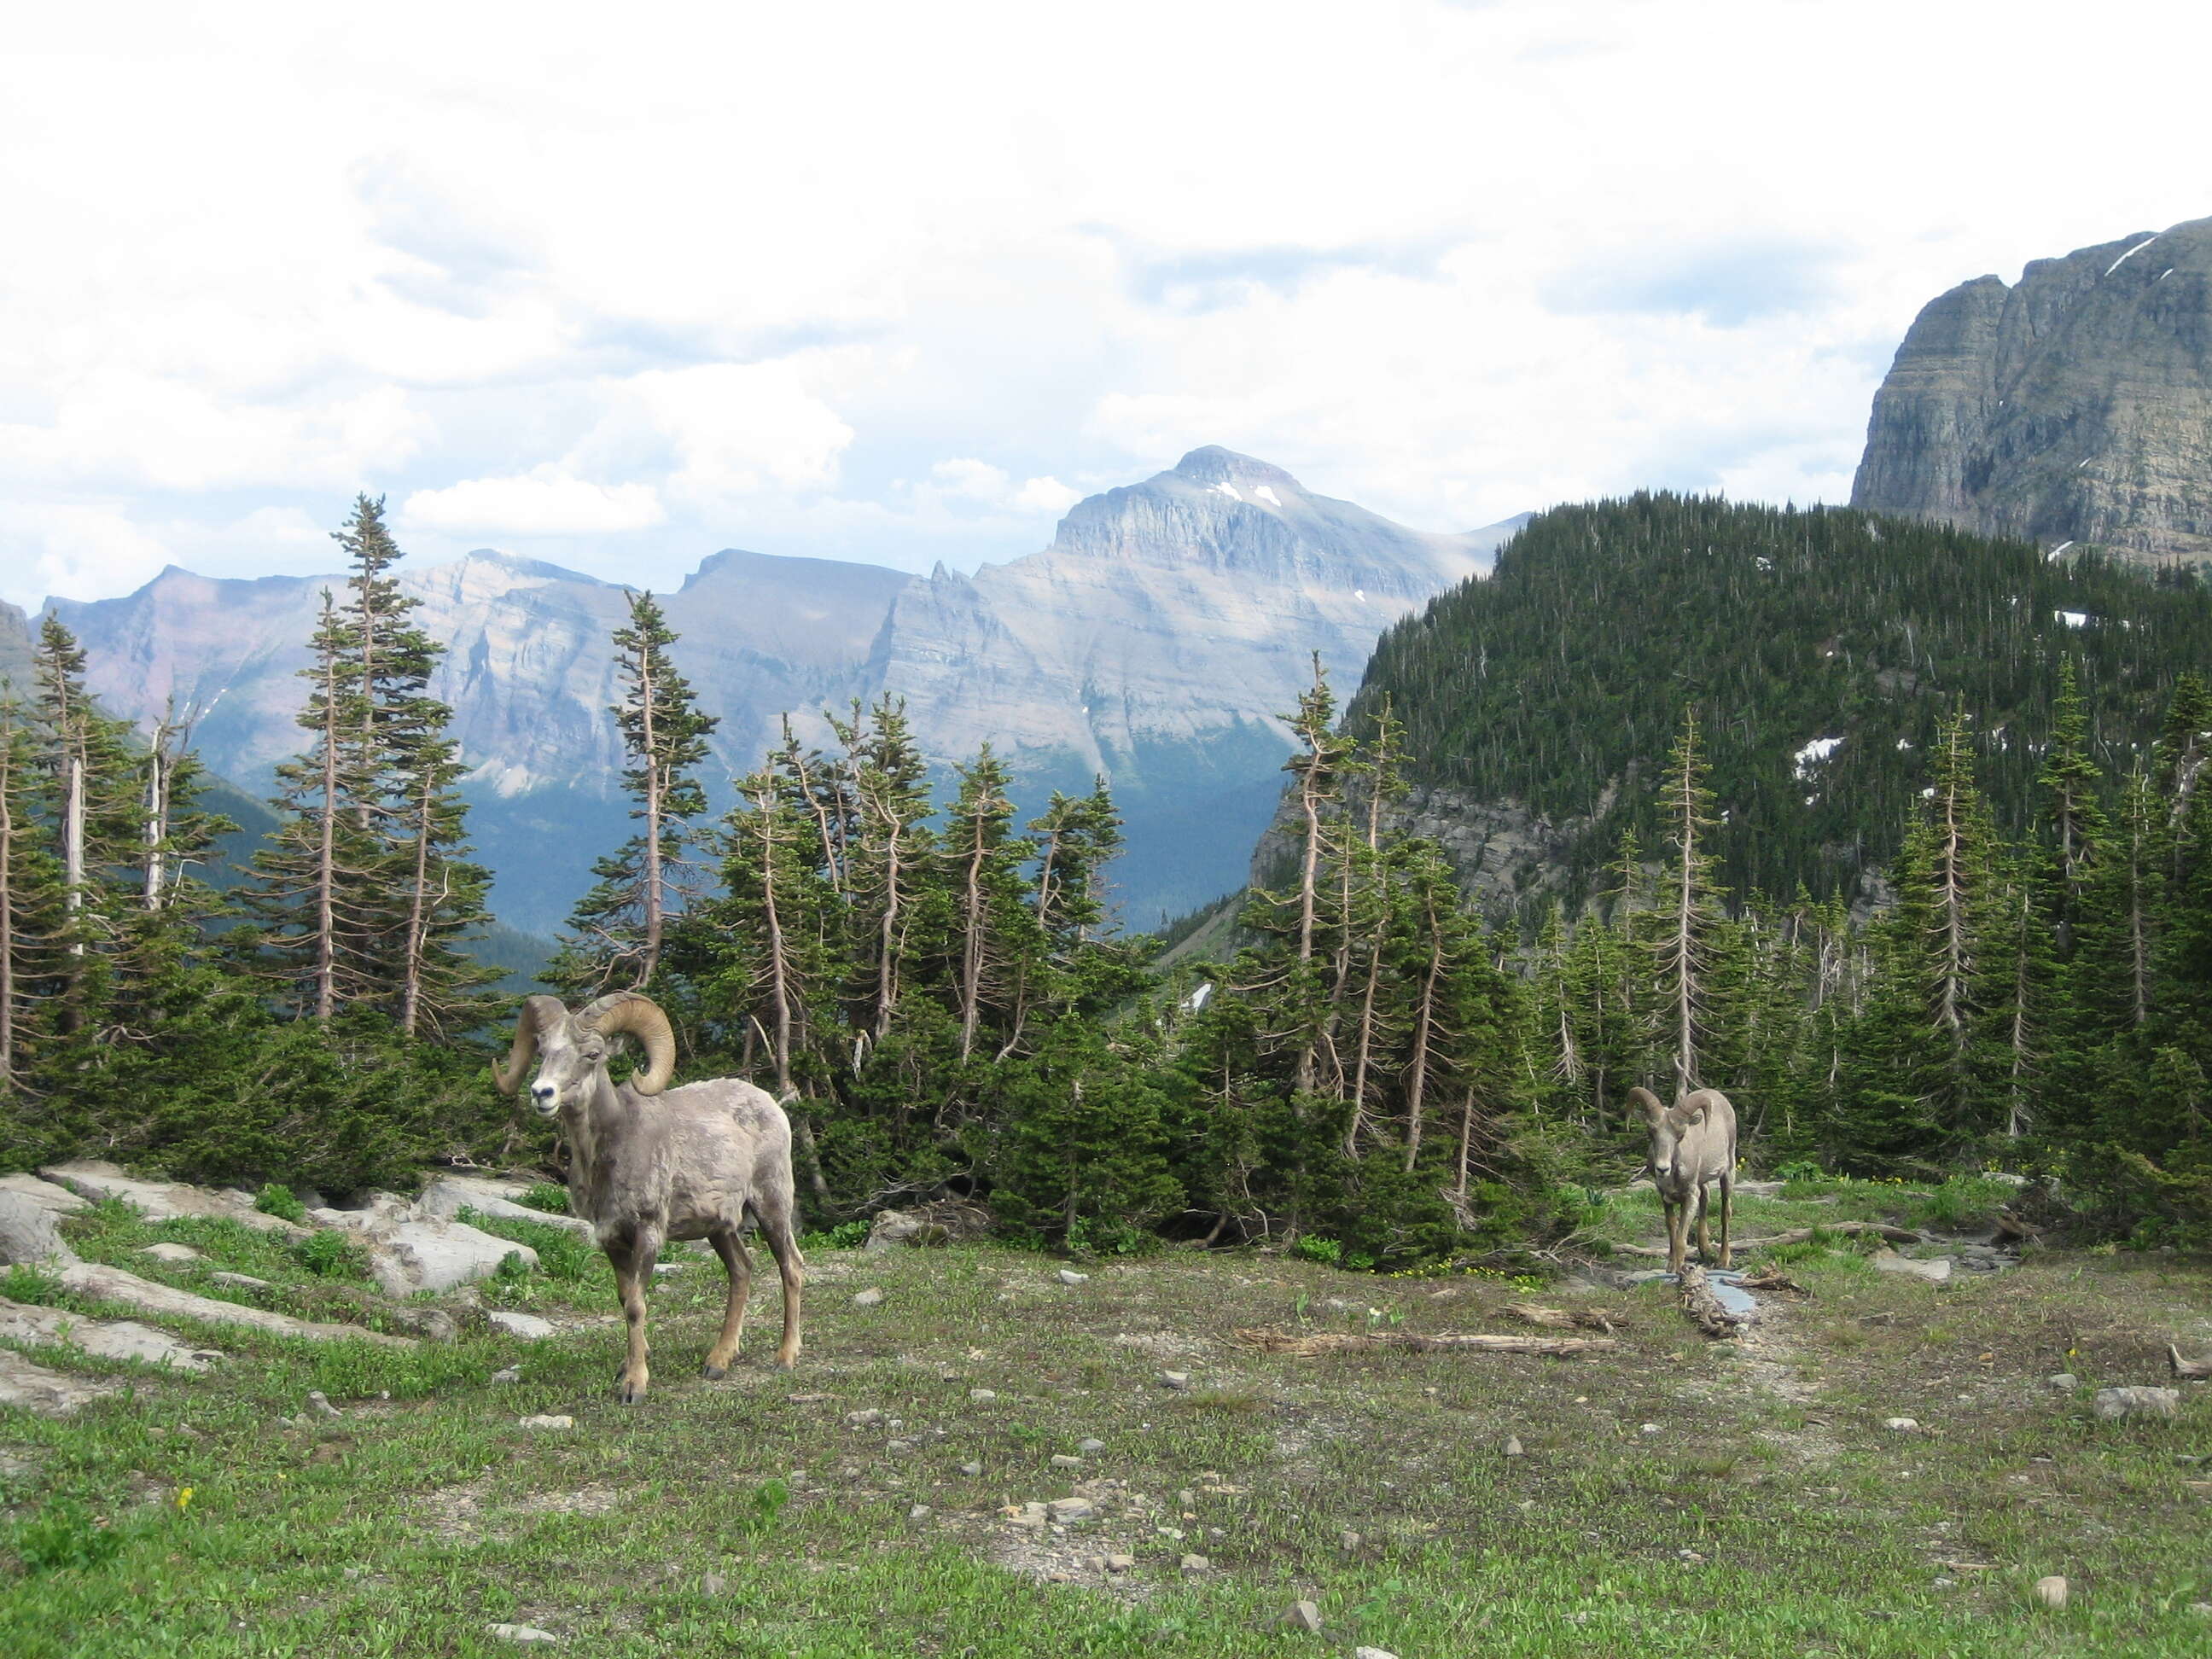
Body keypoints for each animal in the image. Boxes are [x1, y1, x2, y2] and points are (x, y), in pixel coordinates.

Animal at [498, 999, 809, 1406]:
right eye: (543, 1050)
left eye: (592, 1055)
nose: (542, 1093)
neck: (610, 1151)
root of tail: (771, 1105)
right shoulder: (611, 1238)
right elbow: (624, 1298)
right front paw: (628, 1367)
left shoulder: (647, 1232)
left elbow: (635, 1305)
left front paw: (634, 1386)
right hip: (720, 1229)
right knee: (741, 1271)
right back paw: (718, 1362)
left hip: (771, 1206)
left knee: (791, 1268)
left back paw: (785, 1358)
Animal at [1637, 1084, 1734, 1283]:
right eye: (1651, 1132)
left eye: (1680, 1135)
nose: (1662, 1169)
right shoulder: (1665, 1197)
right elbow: (1672, 1229)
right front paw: (1671, 1266)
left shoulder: (1690, 1197)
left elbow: (1681, 1237)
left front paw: (1680, 1270)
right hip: (1703, 1182)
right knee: (1706, 1199)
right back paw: (1704, 1250)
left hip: (1728, 1172)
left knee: (1725, 1213)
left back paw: (1723, 1261)